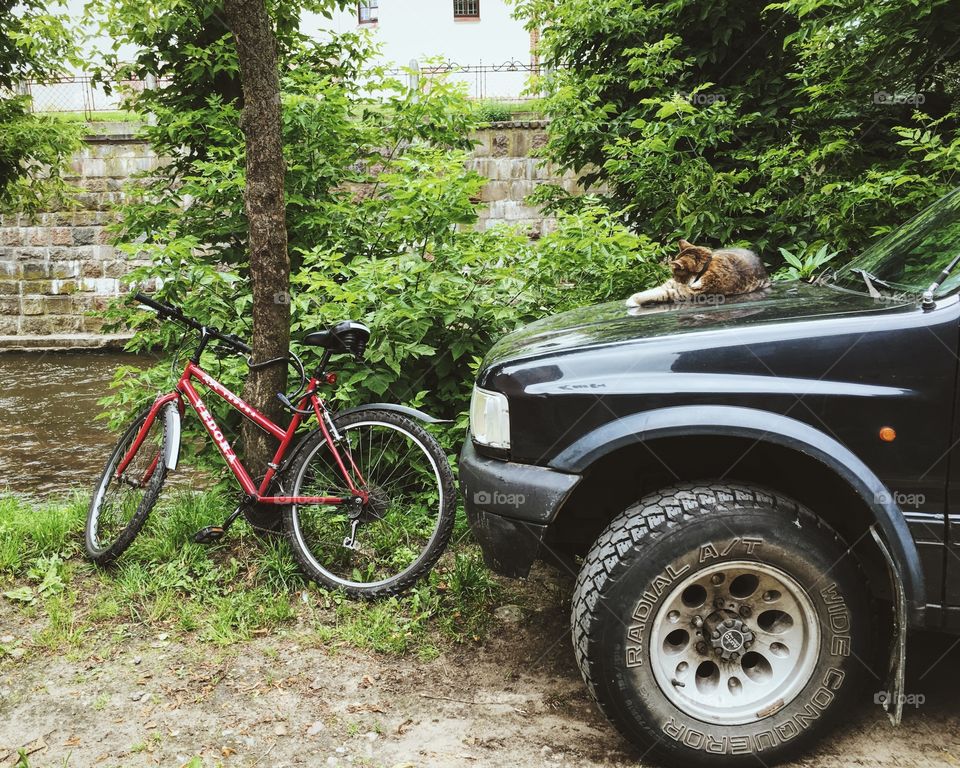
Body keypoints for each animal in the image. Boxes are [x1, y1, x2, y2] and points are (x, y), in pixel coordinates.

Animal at [624, 237, 772, 306]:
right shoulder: (672, 285)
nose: (674, 278)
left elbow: (658, 294)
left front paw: (632, 301)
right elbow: (652, 290)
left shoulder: (685, 293)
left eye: (674, 273)